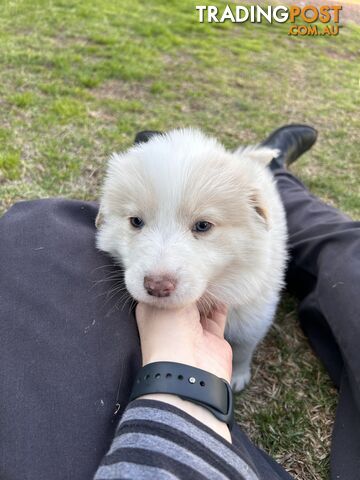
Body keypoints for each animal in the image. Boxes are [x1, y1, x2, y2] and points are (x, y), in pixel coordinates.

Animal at [95, 129, 286, 392]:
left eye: (203, 225)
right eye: (135, 221)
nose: (157, 286)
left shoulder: (253, 316)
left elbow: (242, 349)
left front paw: (238, 376)